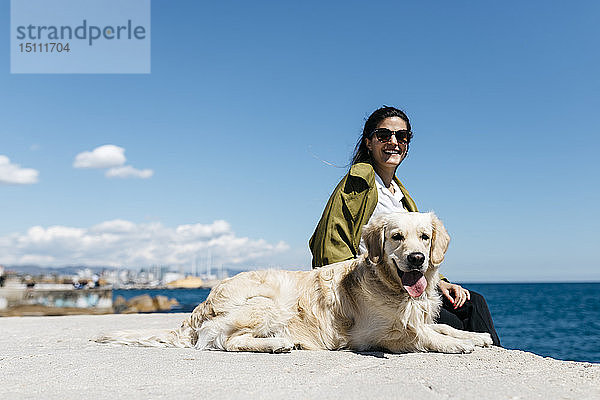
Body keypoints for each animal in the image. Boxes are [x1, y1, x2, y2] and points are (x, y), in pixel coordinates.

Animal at [97, 212, 492, 354]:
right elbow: (424, 336)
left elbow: (440, 327)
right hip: (266, 304)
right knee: (223, 342)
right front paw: (456, 345)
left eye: (425, 237)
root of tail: (201, 305)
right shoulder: (375, 332)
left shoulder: (414, 315)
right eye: (397, 237)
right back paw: (278, 344)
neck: (391, 287)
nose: (417, 258)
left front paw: (475, 337)